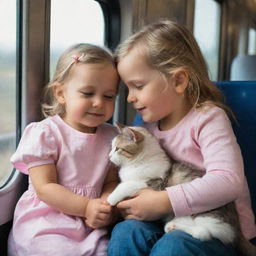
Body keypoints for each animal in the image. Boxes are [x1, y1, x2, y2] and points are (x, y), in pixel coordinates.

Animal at [107, 123, 256, 255]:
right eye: (112, 147)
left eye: (117, 149)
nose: (109, 156)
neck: (137, 162)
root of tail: (237, 228)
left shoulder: (156, 184)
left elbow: (127, 185)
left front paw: (111, 198)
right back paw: (172, 225)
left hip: (208, 215)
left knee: (204, 233)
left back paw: (176, 228)